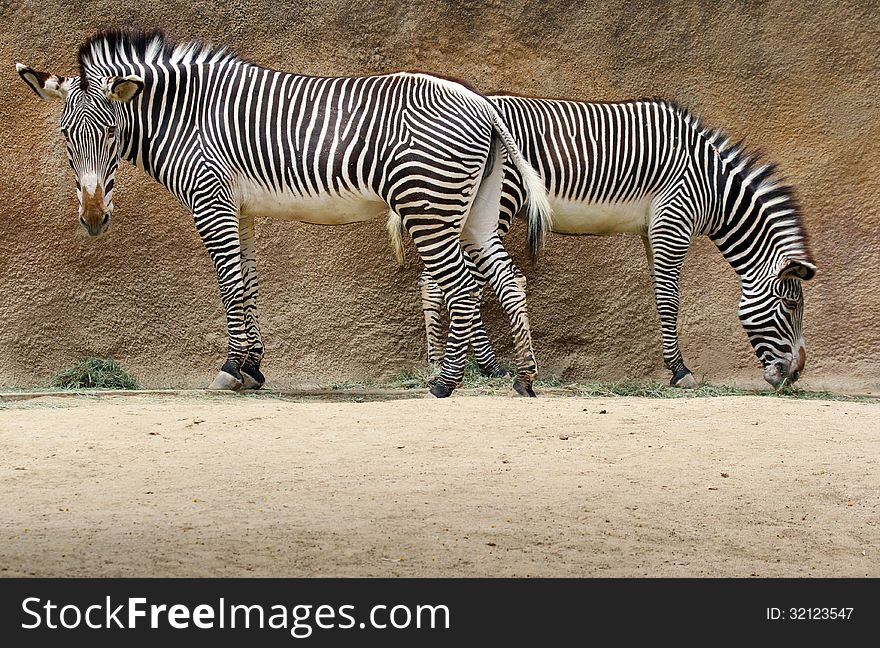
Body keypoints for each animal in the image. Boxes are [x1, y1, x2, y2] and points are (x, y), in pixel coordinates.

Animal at [17, 30, 552, 398]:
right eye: (66, 136)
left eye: (110, 133)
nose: (92, 219)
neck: (186, 115)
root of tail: (481, 101)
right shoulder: (241, 209)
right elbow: (248, 285)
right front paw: (252, 367)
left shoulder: (210, 198)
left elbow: (229, 285)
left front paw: (232, 368)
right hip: (476, 209)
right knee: (507, 279)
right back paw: (524, 376)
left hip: (428, 202)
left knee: (461, 284)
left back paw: (446, 382)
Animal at [396, 97, 816, 390]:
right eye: (791, 305)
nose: (795, 375)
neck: (712, 184)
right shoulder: (674, 218)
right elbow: (669, 298)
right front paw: (680, 370)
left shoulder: (653, 227)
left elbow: (660, 291)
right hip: (493, 206)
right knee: (451, 282)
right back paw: (474, 365)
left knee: (435, 280)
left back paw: (449, 364)